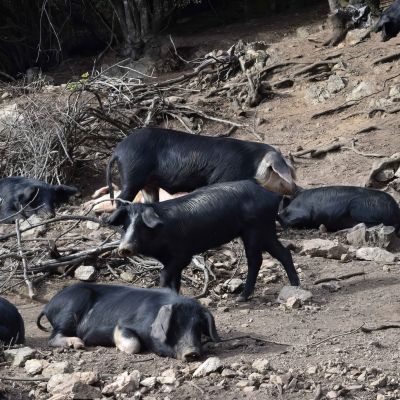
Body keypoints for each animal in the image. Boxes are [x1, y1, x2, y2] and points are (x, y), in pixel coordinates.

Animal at [35, 282, 219, 362]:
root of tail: (49, 305)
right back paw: (79, 344)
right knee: (53, 338)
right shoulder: (125, 324)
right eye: (176, 325)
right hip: (70, 308)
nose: (192, 352)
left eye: (198, 327)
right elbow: (133, 344)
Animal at [104, 179, 298, 300]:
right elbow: (175, 280)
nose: (124, 248)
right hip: (266, 230)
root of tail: (272, 196)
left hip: (254, 230)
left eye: (142, 226)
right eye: (125, 226)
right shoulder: (172, 260)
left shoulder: (182, 255)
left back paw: (241, 298)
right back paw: (295, 286)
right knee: (283, 253)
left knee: (255, 260)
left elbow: (165, 274)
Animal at [106, 128, 296, 203]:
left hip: (149, 184)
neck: (252, 164)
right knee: (121, 199)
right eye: (278, 173)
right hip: (132, 174)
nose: (296, 188)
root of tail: (117, 151)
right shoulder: (225, 177)